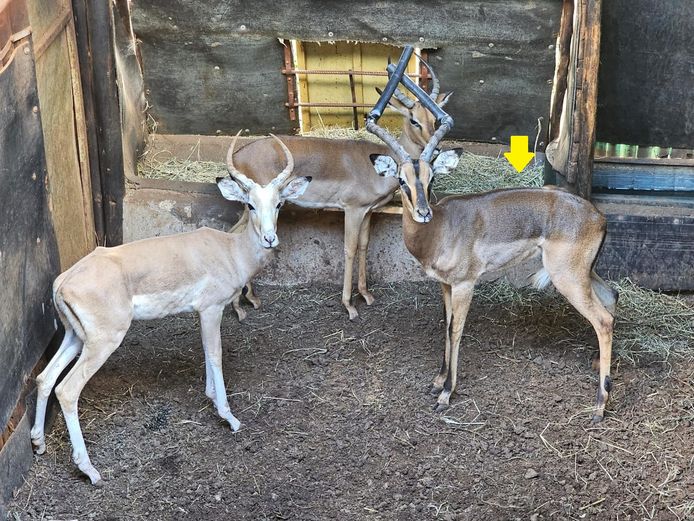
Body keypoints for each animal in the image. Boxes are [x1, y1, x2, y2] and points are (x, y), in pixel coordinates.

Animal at [30, 134, 311, 485]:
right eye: (250, 204)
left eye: (279, 204)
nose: (270, 239)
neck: (230, 251)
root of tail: (63, 282)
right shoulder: (211, 309)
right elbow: (215, 354)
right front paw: (229, 417)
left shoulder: (201, 313)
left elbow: (205, 351)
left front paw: (211, 396)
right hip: (102, 343)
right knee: (67, 390)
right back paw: (89, 470)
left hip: (75, 337)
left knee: (44, 377)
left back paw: (38, 443)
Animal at [231, 61, 452, 320]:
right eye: (413, 119)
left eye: (434, 120)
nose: (436, 148)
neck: (376, 164)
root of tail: (237, 155)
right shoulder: (352, 210)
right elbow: (349, 249)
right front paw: (349, 305)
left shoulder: (368, 211)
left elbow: (364, 246)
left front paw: (366, 295)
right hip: (256, 208)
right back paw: (242, 303)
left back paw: (249, 299)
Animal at [366, 108, 617, 422]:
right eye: (401, 180)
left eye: (431, 177)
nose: (423, 213)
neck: (440, 229)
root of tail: (599, 217)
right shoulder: (445, 286)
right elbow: (445, 326)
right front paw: (438, 381)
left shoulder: (465, 285)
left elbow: (455, 330)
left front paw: (446, 394)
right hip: (584, 274)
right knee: (611, 298)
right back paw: (598, 367)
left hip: (568, 278)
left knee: (603, 320)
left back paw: (599, 405)